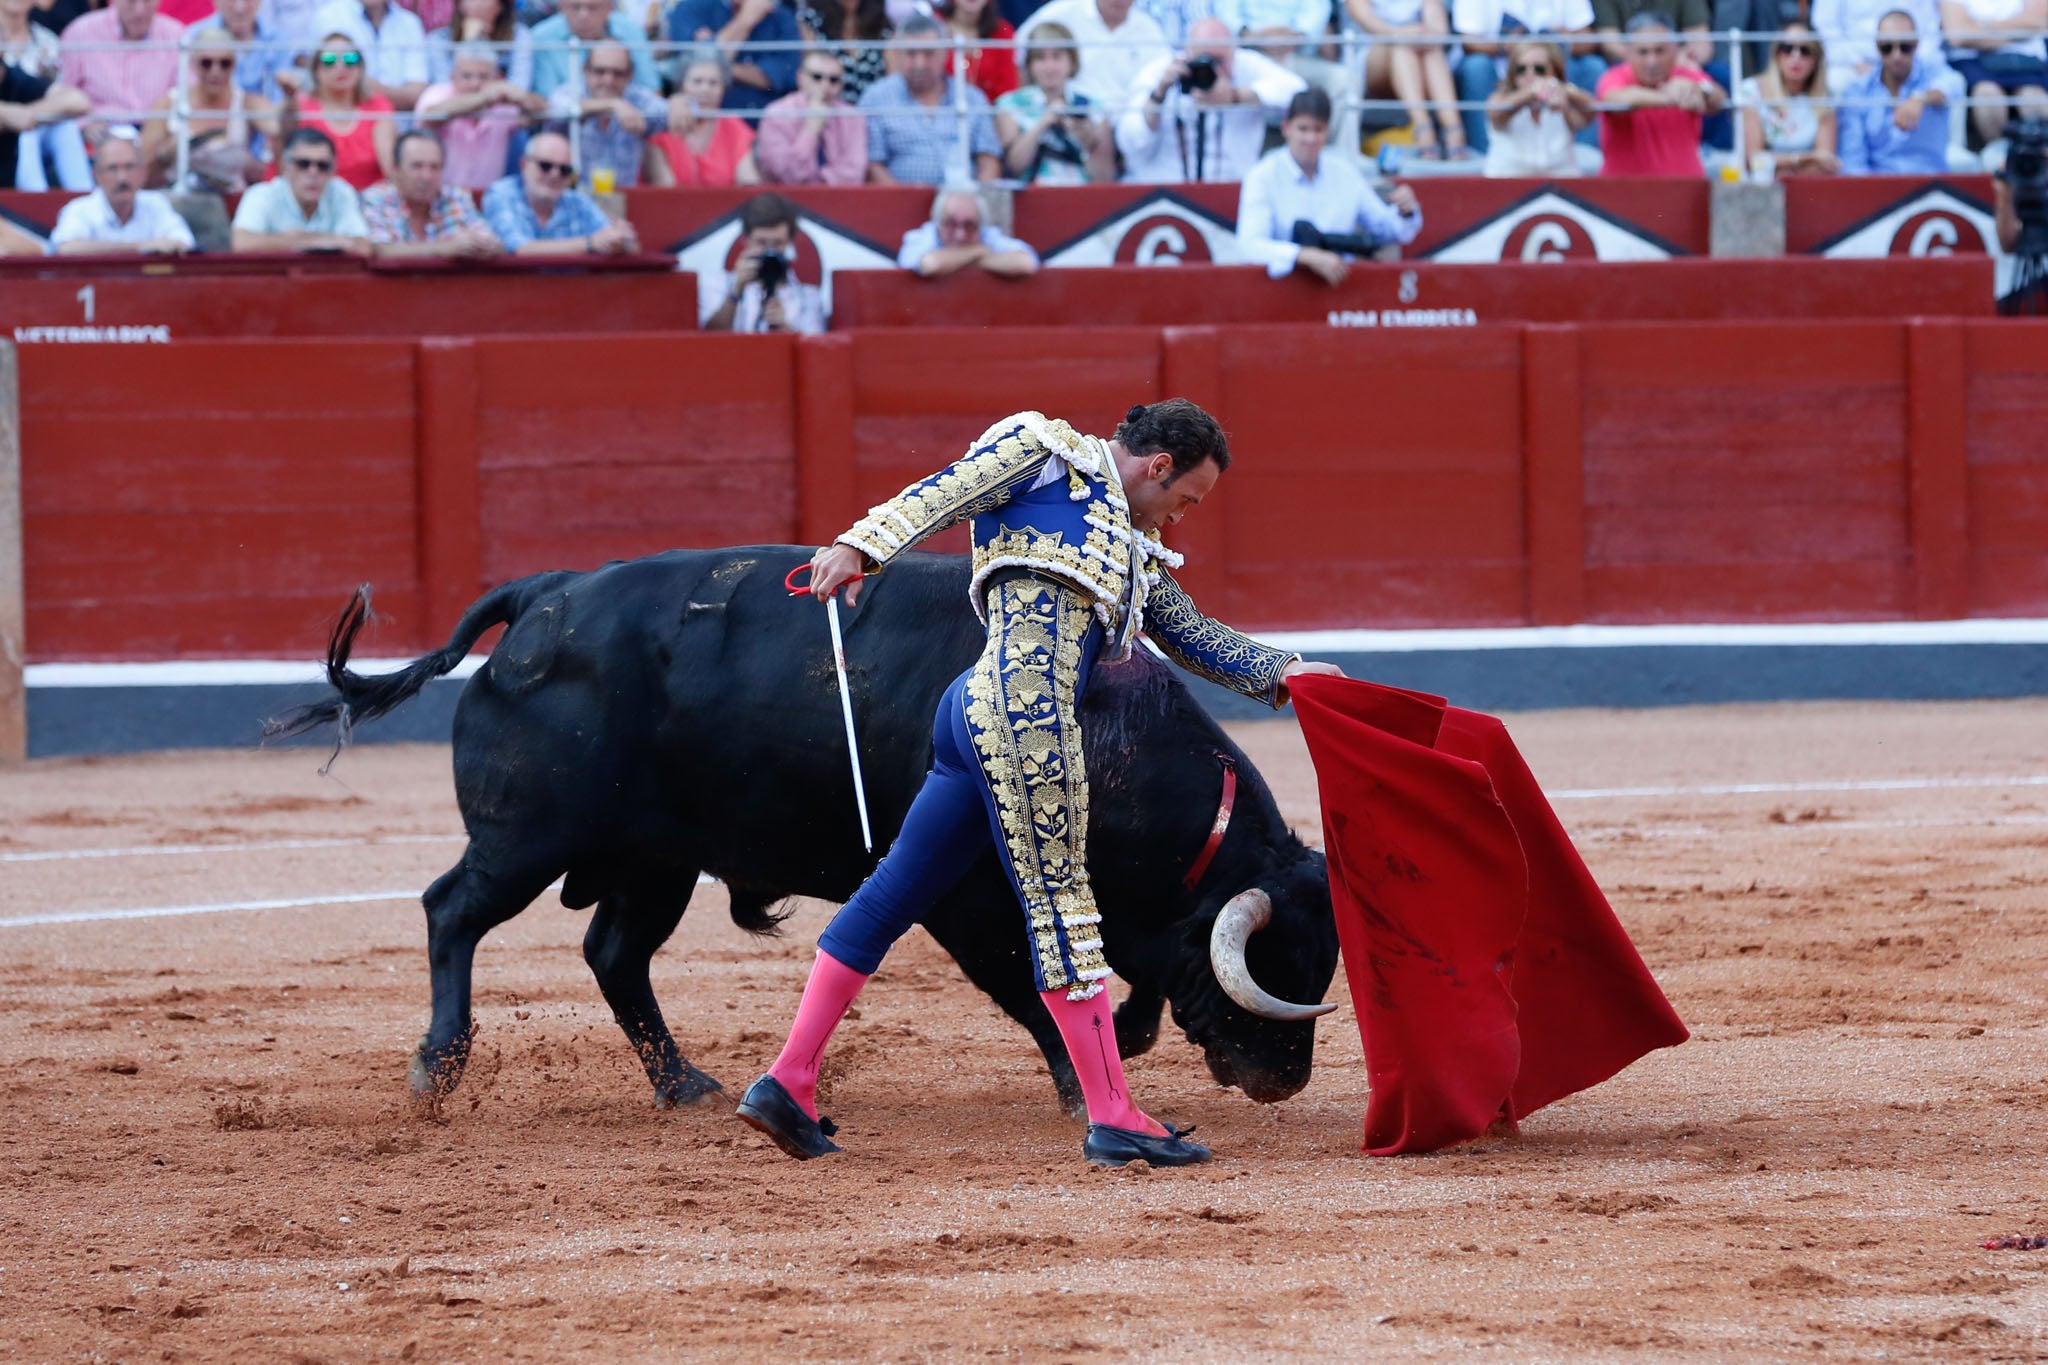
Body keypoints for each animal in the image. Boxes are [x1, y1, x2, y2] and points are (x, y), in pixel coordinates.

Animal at [276, 548, 1343, 1113]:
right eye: (1268, 967)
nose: (1284, 1079)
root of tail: (544, 594)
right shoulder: (967, 900)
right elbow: (1034, 984)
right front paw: (1087, 1083)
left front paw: (1121, 1037)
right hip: (527, 839)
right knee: (452, 909)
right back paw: (438, 1065)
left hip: (657, 860)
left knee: (614, 954)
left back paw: (686, 1084)